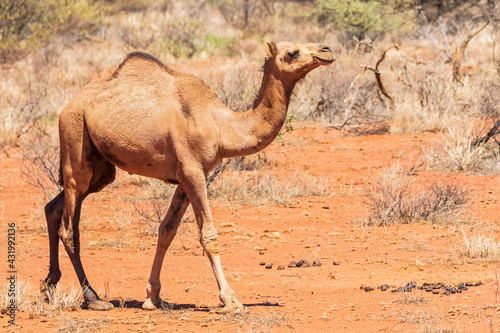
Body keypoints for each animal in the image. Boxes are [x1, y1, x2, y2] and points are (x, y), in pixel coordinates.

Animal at [40, 41, 336, 312]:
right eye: (292, 52)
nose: (326, 50)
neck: (221, 126)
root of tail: (67, 107)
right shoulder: (193, 171)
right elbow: (209, 236)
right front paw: (231, 300)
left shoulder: (188, 175)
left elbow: (166, 230)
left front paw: (153, 297)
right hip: (75, 143)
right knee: (69, 228)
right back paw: (94, 298)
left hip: (101, 169)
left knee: (53, 208)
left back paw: (49, 285)